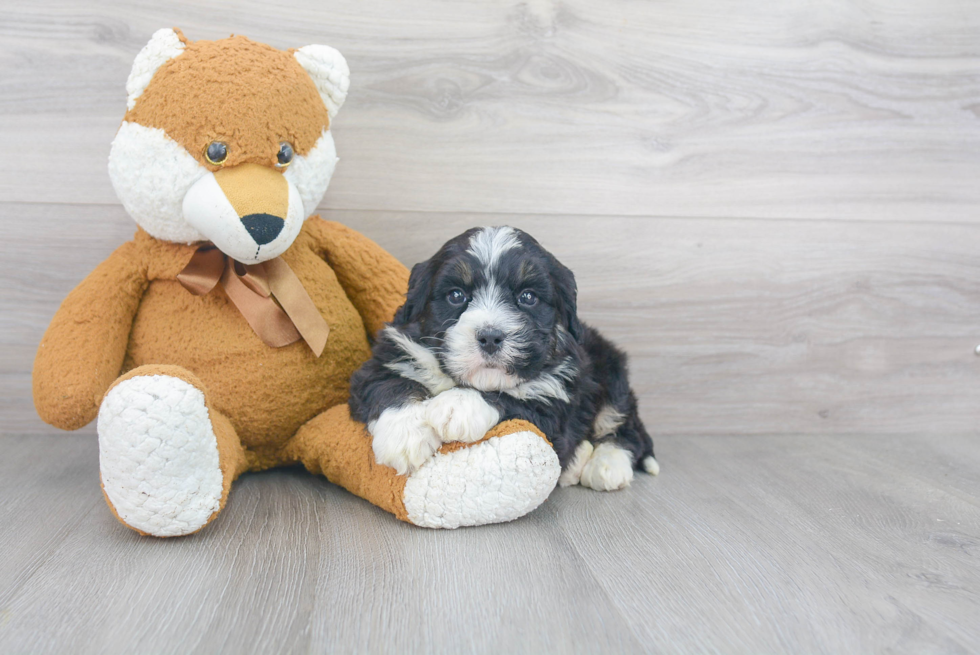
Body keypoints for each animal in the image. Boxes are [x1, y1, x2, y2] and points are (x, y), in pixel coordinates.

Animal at [348, 228, 664, 490]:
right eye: (456, 295)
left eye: (527, 297)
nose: (490, 337)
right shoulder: (383, 360)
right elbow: (390, 385)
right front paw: (404, 435)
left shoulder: (554, 406)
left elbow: (511, 398)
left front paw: (459, 404)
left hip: (613, 375)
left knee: (625, 428)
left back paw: (607, 465)